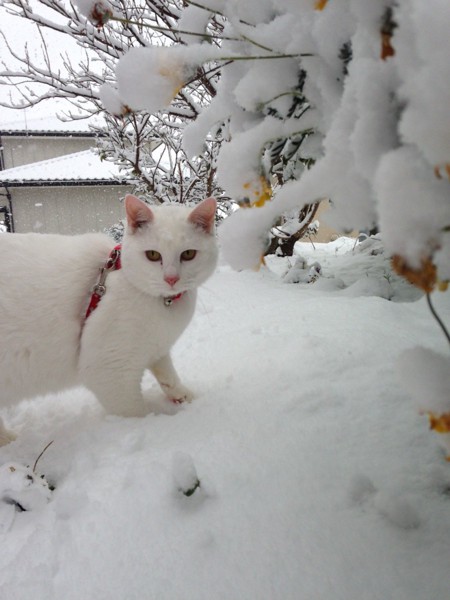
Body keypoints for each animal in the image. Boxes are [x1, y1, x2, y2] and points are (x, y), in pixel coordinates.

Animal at [0, 195, 218, 442]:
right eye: (153, 255)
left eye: (188, 254)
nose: (171, 279)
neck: (166, 304)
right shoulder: (109, 371)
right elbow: (135, 413)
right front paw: (150, 428)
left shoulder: (157, 348)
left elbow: (168, 374)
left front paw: (184, 396)